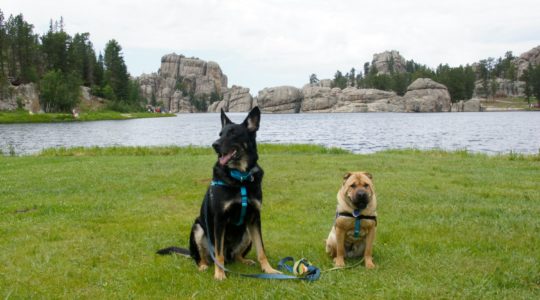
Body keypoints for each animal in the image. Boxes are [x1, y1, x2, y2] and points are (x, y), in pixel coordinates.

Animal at [157, 106, 278, 280]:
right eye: (220, 134)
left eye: (233, 134)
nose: (214, 145)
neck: (240, 178)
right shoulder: (219, 220)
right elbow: (218, 254)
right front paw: (220, 274)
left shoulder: (255, 218)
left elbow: (261, 249)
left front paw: (268, 269)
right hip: (198, 228)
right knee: (203, 257)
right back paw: (203, 266)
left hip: (247, 232)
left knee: (236, 255)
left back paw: (245, 260)